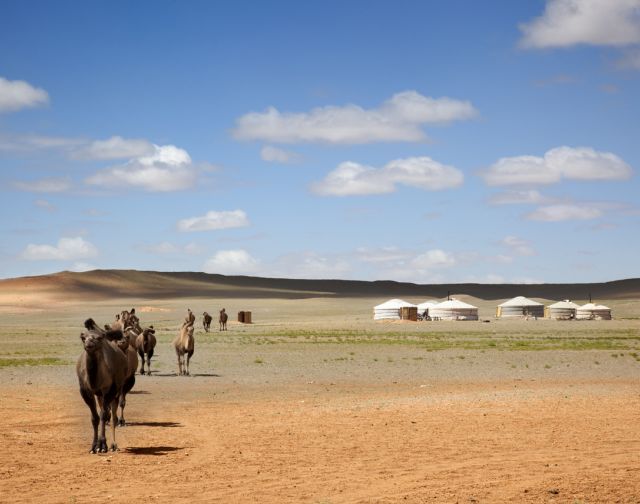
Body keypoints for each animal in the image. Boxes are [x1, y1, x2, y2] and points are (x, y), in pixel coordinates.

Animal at [76, 320, 127, 454]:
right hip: (99, 395)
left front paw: (102, 445)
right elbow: (95, 418)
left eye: (99, 338)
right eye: (83, 337)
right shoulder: (86, 391)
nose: (89, 344)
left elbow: (104, 415)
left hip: (117, 390)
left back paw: (114, 445)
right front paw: (94, 446)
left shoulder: (109, 390)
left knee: (113, 415)